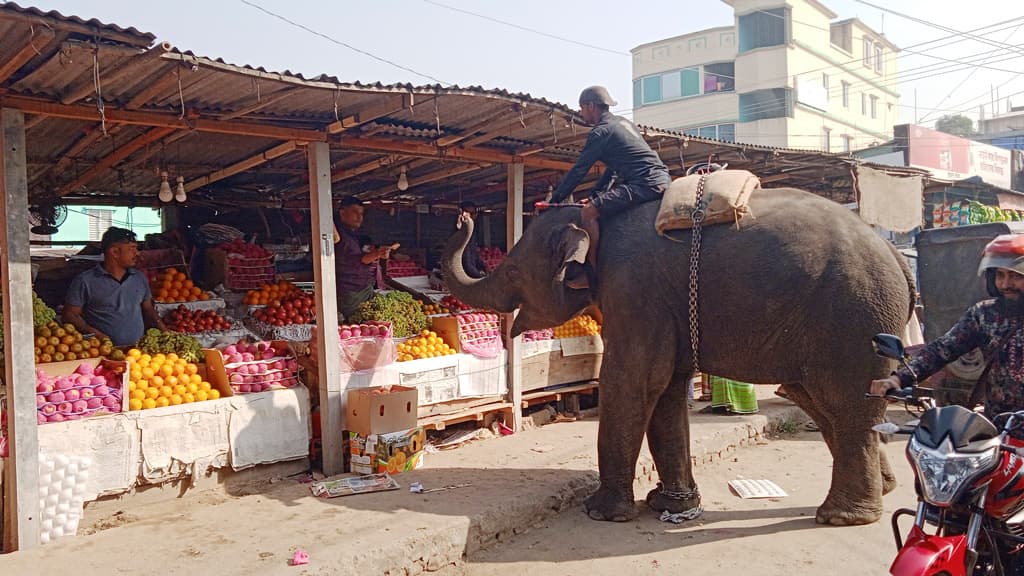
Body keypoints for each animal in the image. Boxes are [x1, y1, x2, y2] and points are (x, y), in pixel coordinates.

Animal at [440, 188, 913, 524]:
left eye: (514, 270)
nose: (463, 215)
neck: (593, 221)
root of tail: (894, 253)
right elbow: (665, 388)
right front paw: (669, 504)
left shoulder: (634, 290)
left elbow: (631, 380)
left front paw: (602, 512)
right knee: (818, 400)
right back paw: (883, 491)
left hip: (853, 320)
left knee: (843, 403)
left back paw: (842, 517)